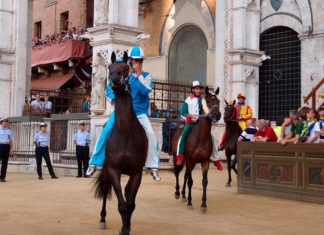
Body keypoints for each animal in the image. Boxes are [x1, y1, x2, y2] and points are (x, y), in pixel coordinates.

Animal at [93, 51, 147, 235]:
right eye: (109, 67)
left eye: (125, 67)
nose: (115, 80)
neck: (125, 133)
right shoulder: (114, 170)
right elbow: (122, 205)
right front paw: (123, 229)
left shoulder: (137, 173)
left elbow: (130, 204)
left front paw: (127, 227)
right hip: (106, 170)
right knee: (105, 189)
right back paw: (102, 219)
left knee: (128, 193)